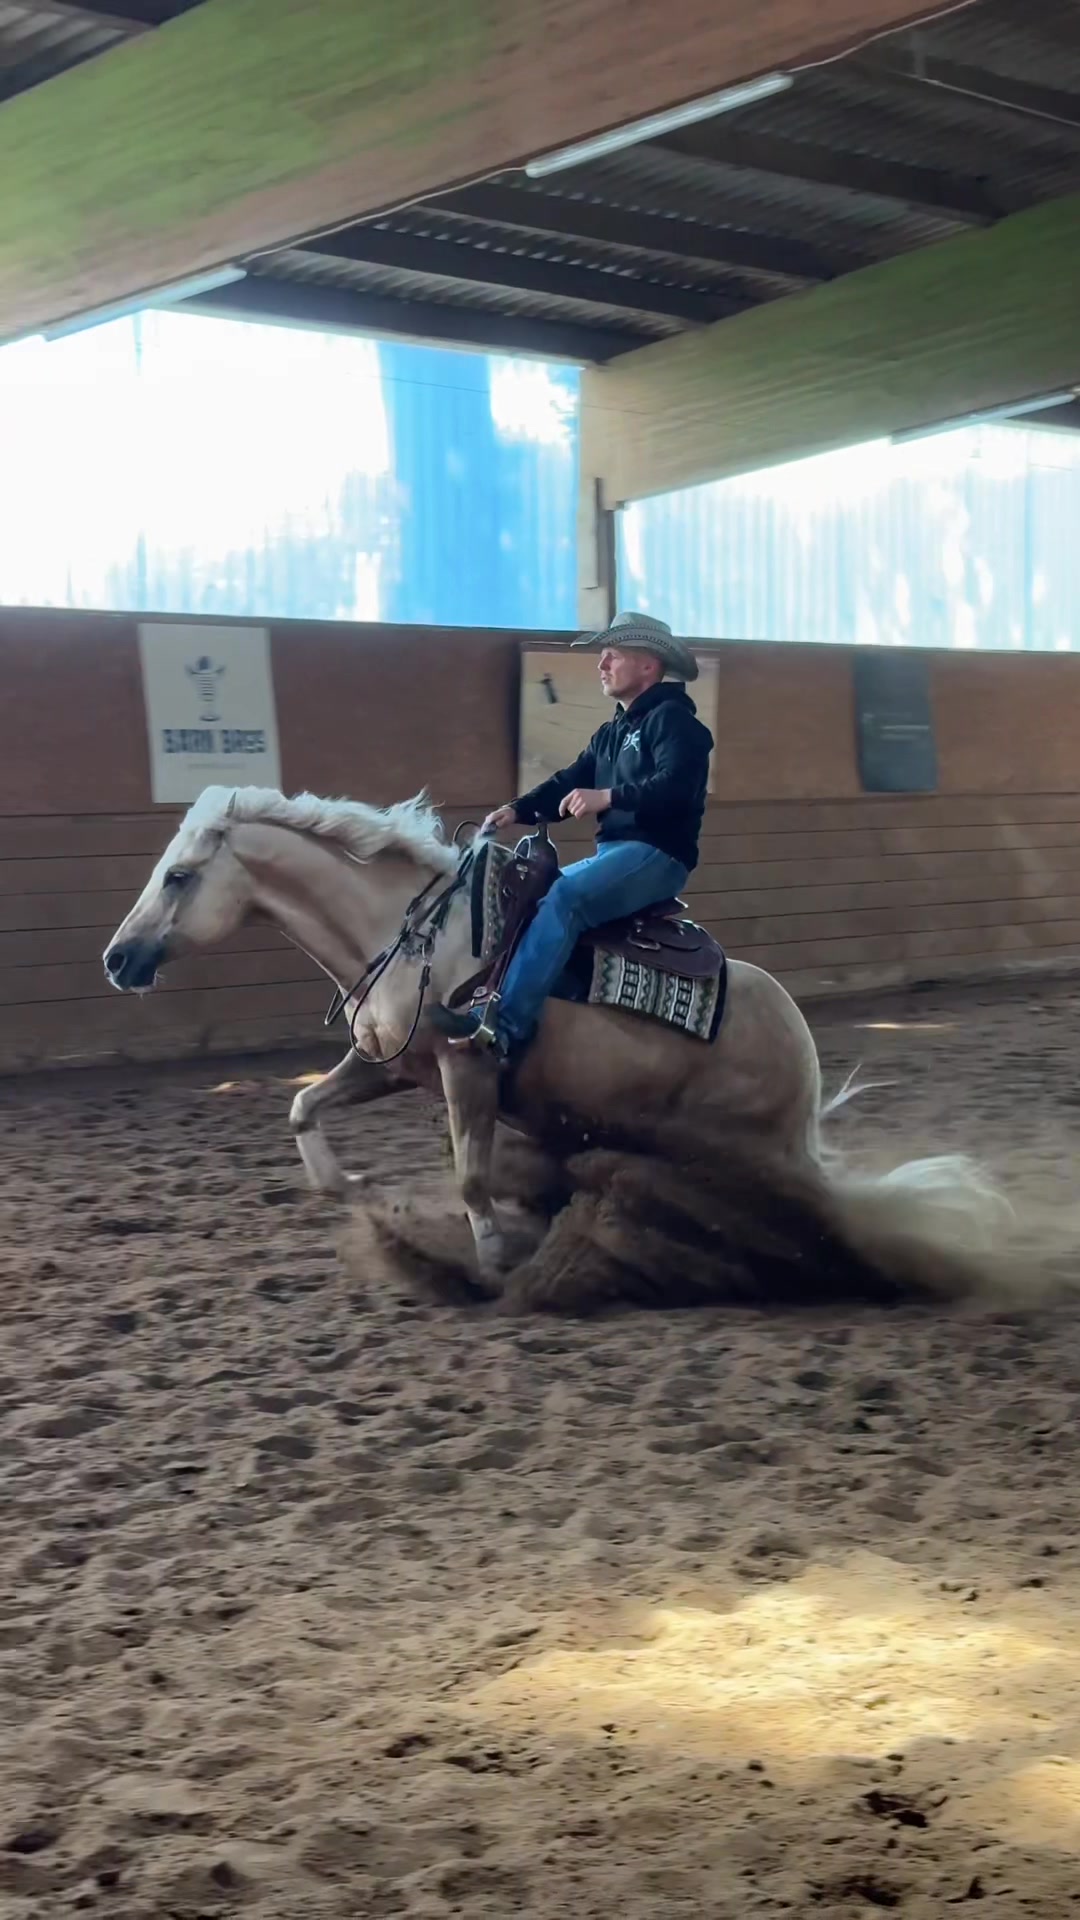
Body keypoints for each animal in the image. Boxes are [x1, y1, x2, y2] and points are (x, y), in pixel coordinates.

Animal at [103, 783, 1018, 1311]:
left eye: (179, 875)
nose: (118, 958)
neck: (409, 931)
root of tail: (799, 1048)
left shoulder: (467, 1067)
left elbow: (470, 1174)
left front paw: (493, 1269)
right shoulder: (390, 1064)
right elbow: (302, 1105)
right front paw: (350, 1189)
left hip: (731, 1147)